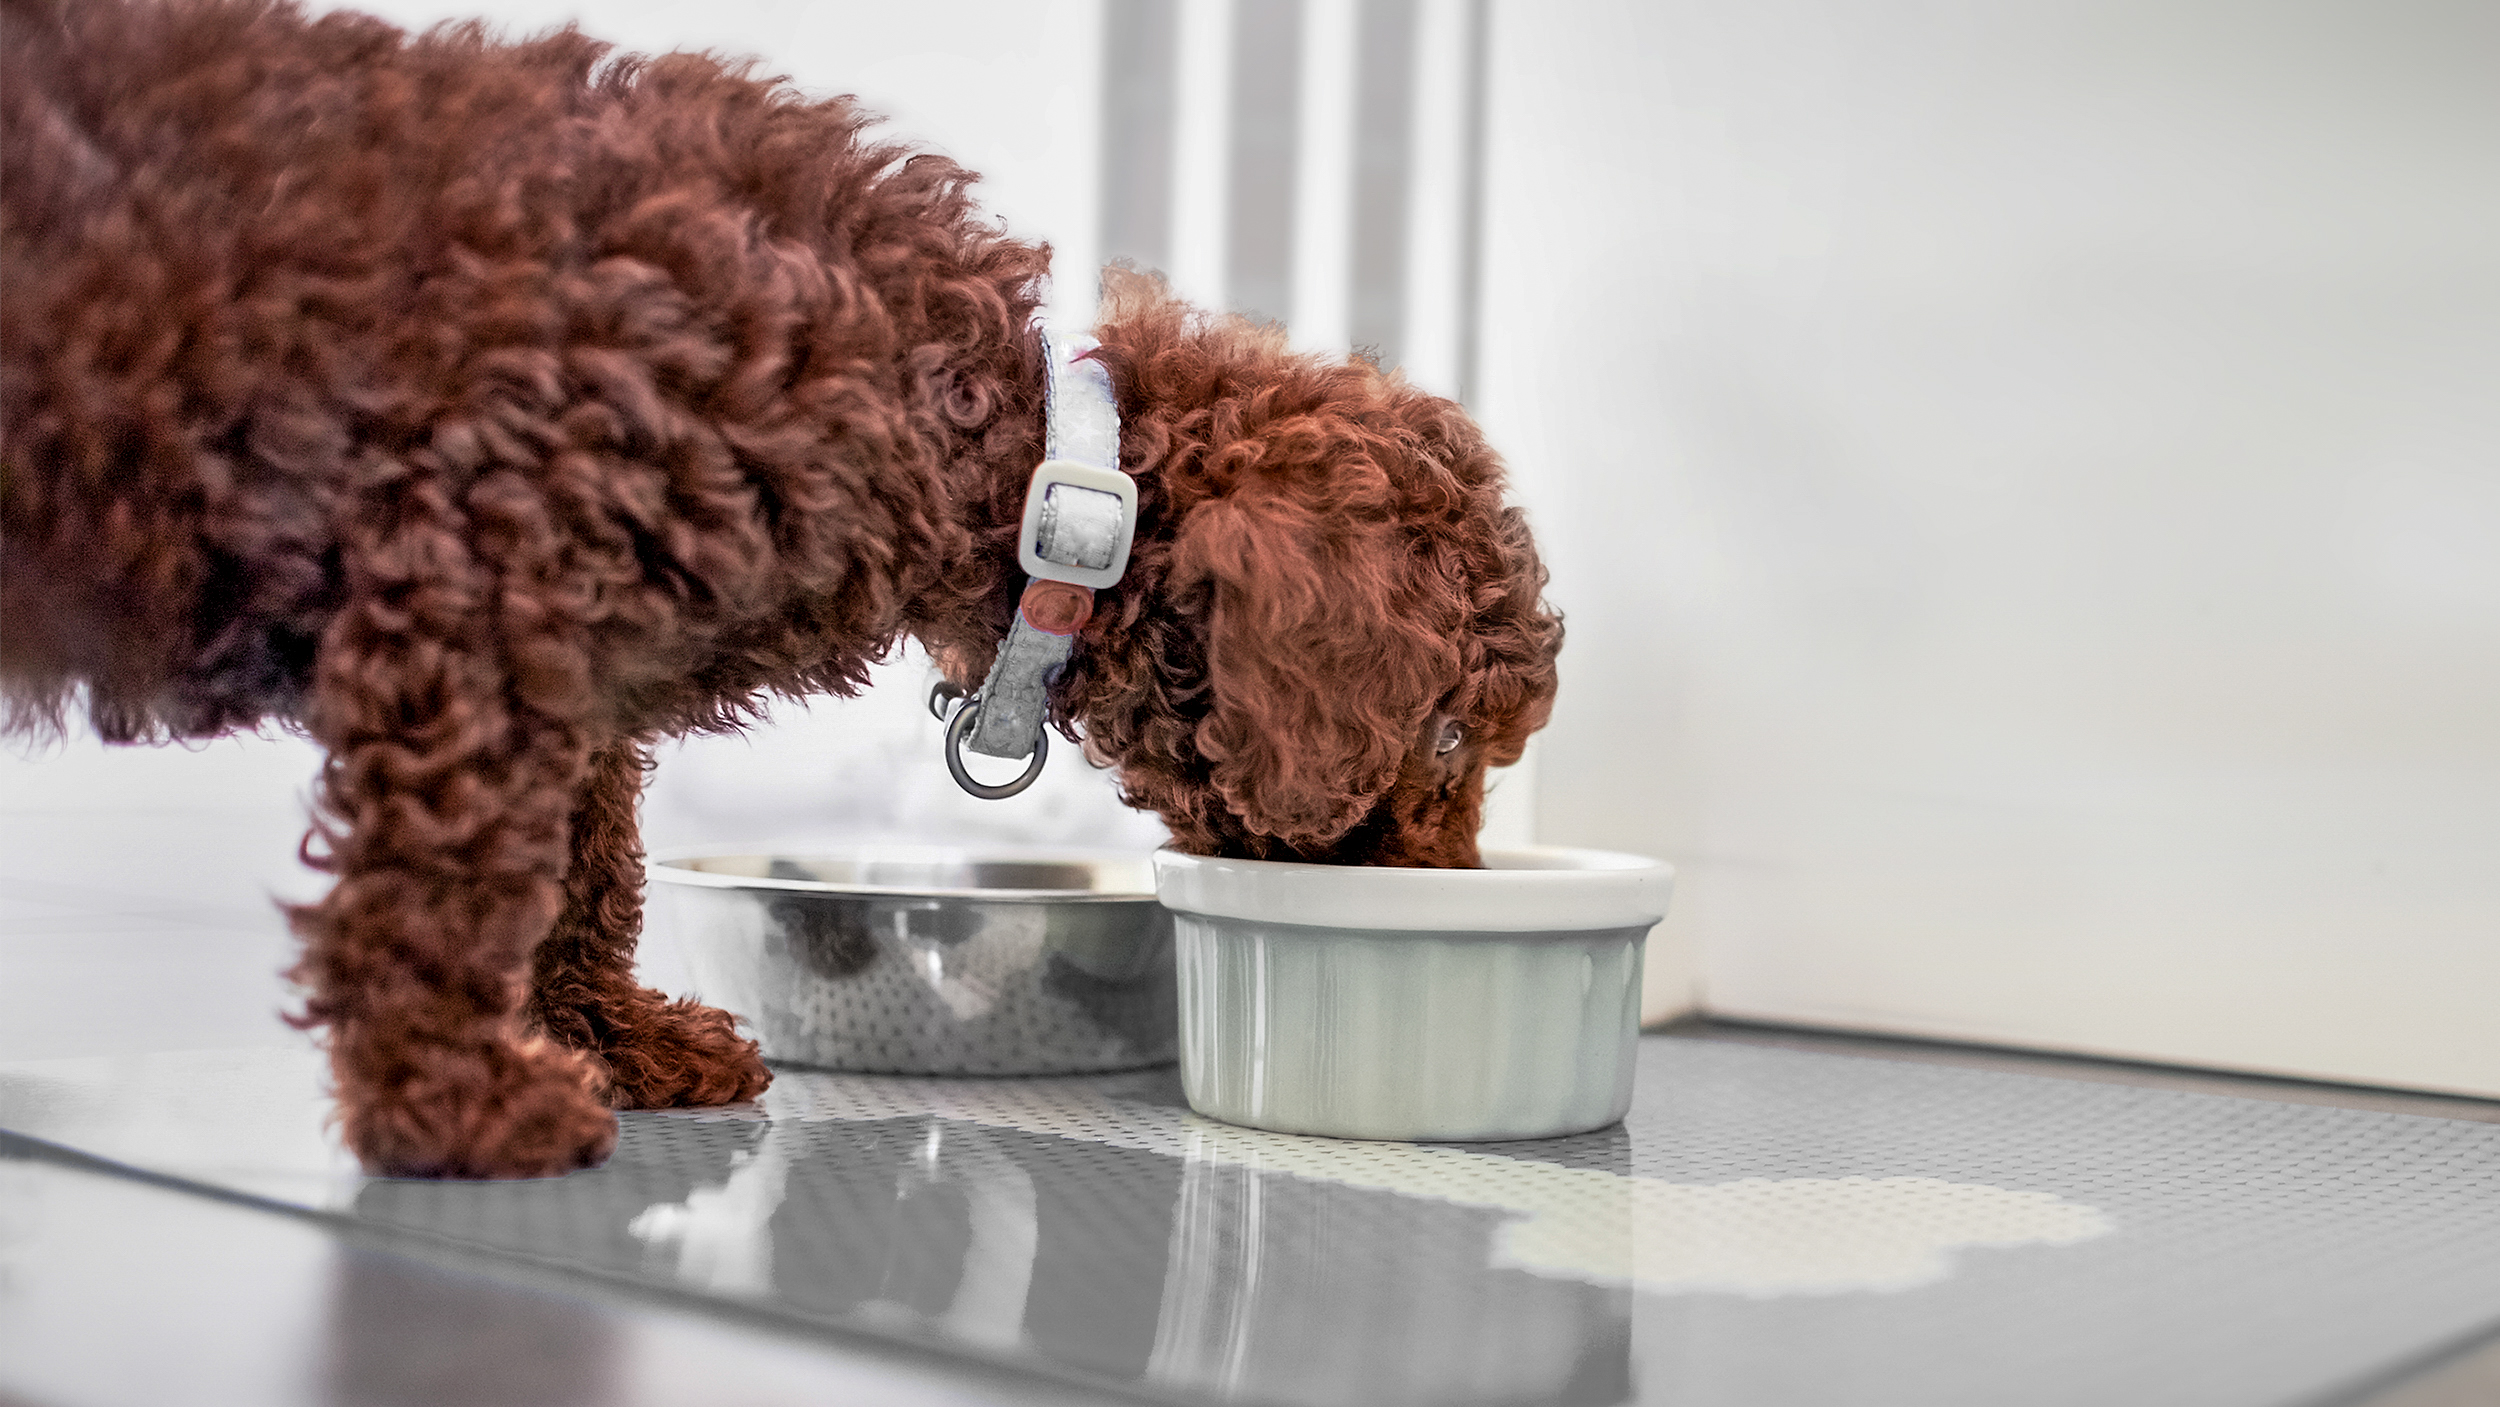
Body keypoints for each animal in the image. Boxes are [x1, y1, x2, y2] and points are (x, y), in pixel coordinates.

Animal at [0, 0, 1560, 1179]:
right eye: (1444, 742)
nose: (1453, 887)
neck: (1016, 455)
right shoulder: (480, 607)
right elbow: (452, 886)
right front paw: (454, 1100)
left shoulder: (581, 665)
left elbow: (586, 870)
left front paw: (605, 1036)